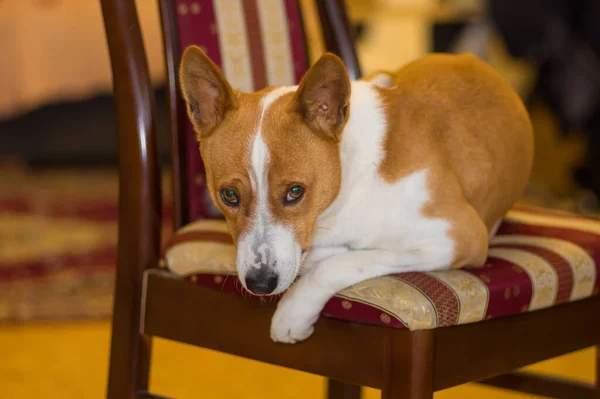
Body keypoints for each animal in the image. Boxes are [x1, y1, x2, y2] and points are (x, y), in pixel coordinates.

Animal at [178, 45, 536, 342]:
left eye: (295, 192)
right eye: (229, 195)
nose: (260, 282)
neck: (347, 186)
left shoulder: (459, 236)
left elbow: (342, 263)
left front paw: (294, 312)